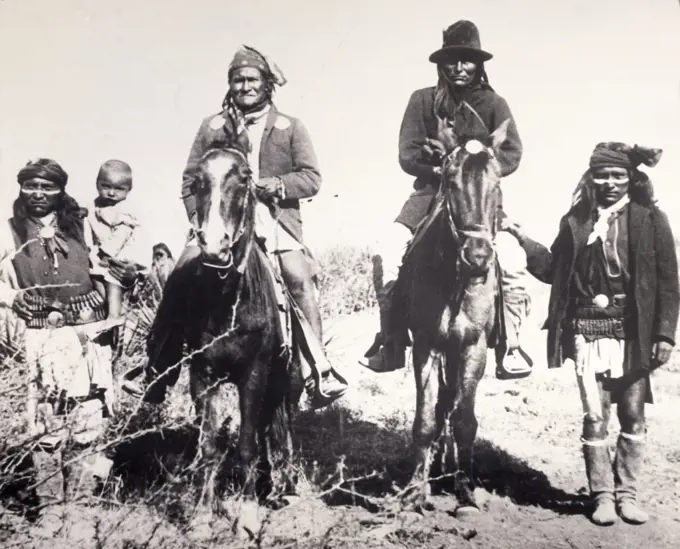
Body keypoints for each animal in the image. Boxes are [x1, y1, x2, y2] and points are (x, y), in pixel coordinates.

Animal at [185, 147, 304, 510]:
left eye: (244, 177)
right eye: (196, 181)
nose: (214, 245)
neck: (229, 304)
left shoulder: (253, 373)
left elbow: (247, 442)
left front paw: (247, 508)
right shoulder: (203, 375)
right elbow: (209, 446)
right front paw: (204, 509)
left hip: (287, 379)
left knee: (284, 426)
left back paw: (286, 486)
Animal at [396, 116, 512, 512]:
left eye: (497, 182)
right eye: (450, 180)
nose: (477, 258)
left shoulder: (472, 348)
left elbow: (464, 420)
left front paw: (465, 493)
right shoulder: (426, 347)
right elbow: (425, 421)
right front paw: (416, 492)